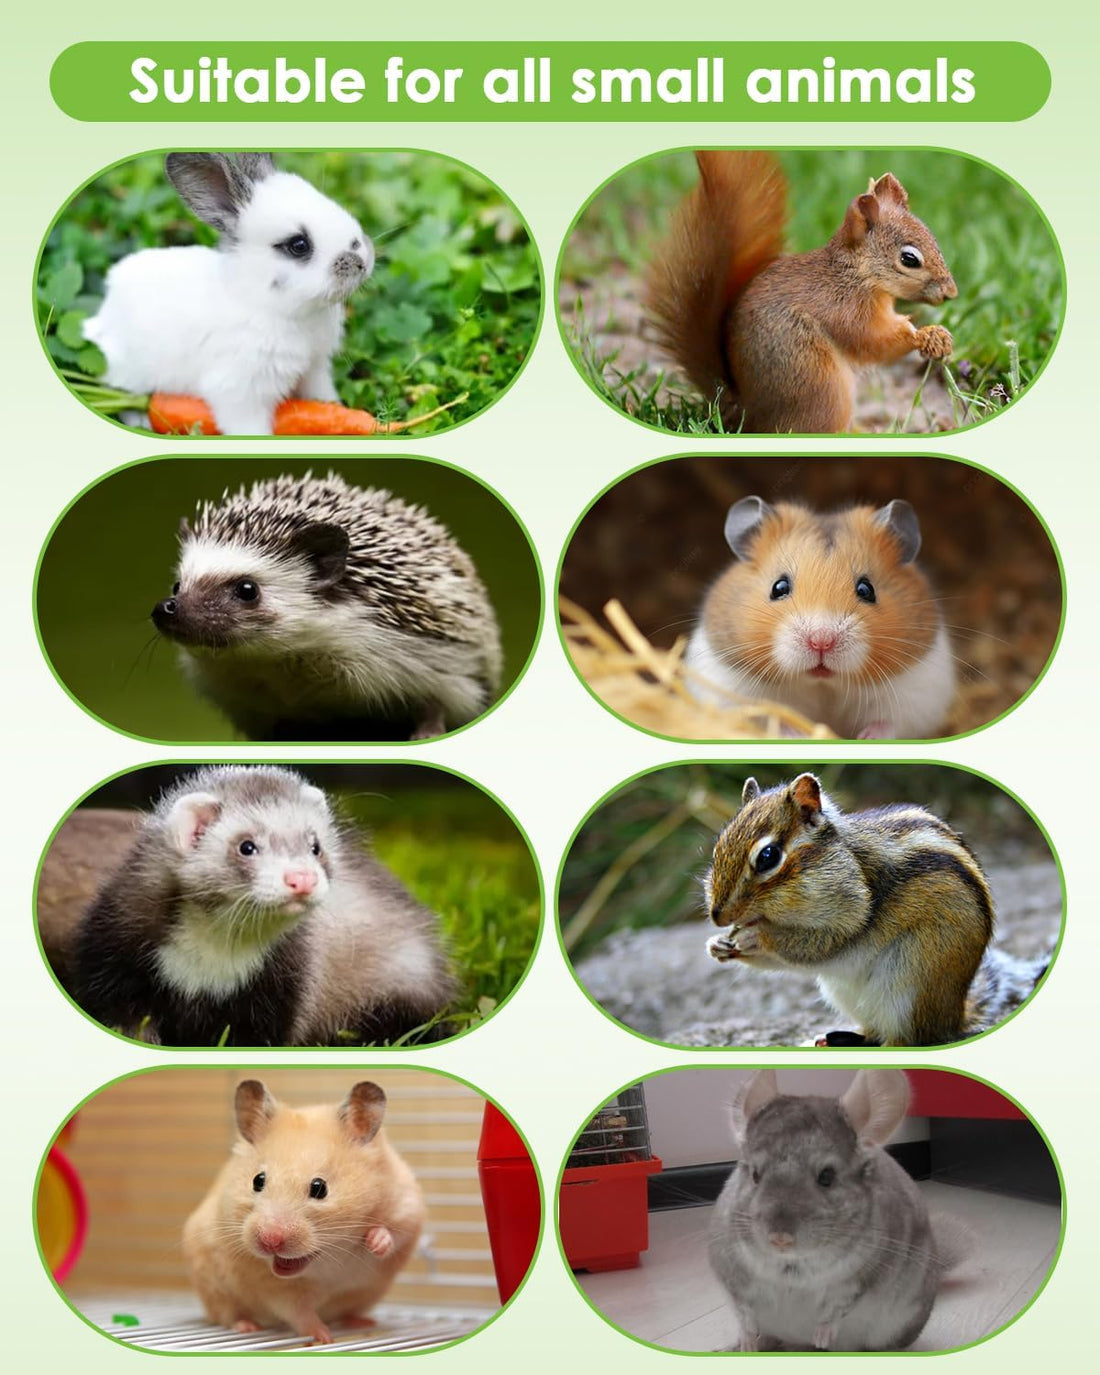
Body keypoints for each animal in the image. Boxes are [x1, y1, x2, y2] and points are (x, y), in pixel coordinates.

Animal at [83, 152, 374, 435]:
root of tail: (102, 318)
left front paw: (337, 410)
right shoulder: (240, 392)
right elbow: (250, 428)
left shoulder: (314, 368)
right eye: (299, 245)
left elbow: (322, 397)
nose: (362, 259)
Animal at [708, 1068, 972, 1352]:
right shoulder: (729, 1270)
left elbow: (836, 1309)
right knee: (769, 1336)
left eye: (827, 1176)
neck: (793, 1266)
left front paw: (821, 1338)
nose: (780, 1238)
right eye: (755, 1175)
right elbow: (743, 1312)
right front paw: (747, 1342)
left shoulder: (862, 1278)